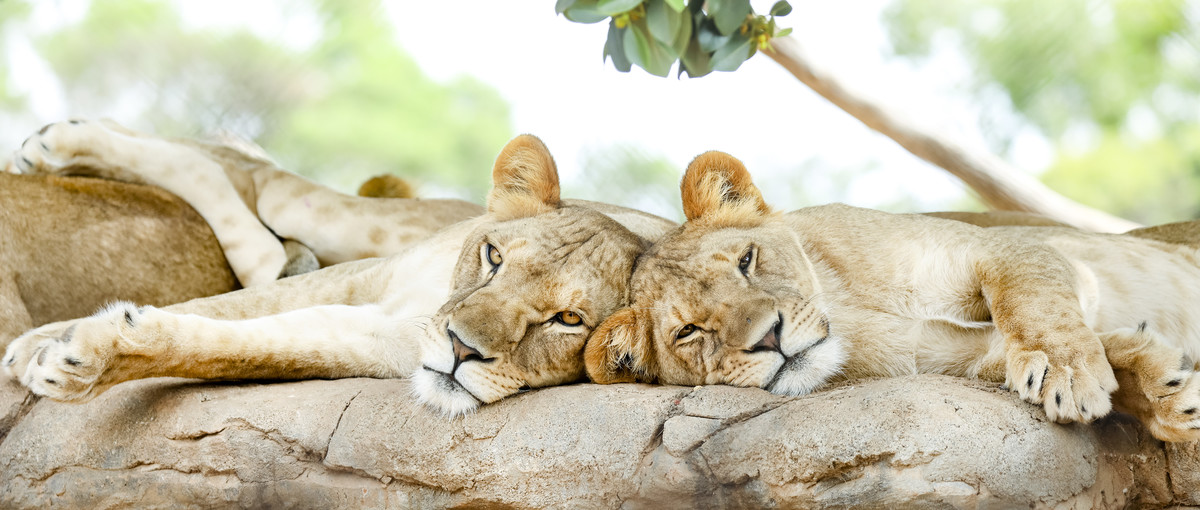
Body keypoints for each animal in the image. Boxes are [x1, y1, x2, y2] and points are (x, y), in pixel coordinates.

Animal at [3, 133, 676, 416]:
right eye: (494, 258)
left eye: (569, 320)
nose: (461, 349)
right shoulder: (364, 276)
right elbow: (227, 306)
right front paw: (39, 342)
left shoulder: (372, 341)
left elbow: (228, 343)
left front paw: (79, 357)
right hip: (352, 224)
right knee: (250, 175)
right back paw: (55, 144)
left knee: (253, 204)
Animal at [585, 151, 1200, 442]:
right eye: (689, 331)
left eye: (746, 261)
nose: (770, 339)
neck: (851, 309)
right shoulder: (956, 358)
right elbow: (1085, 348)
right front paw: (1164, 390)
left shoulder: (1004, 246)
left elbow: (1034, 301)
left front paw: (1069, 371)